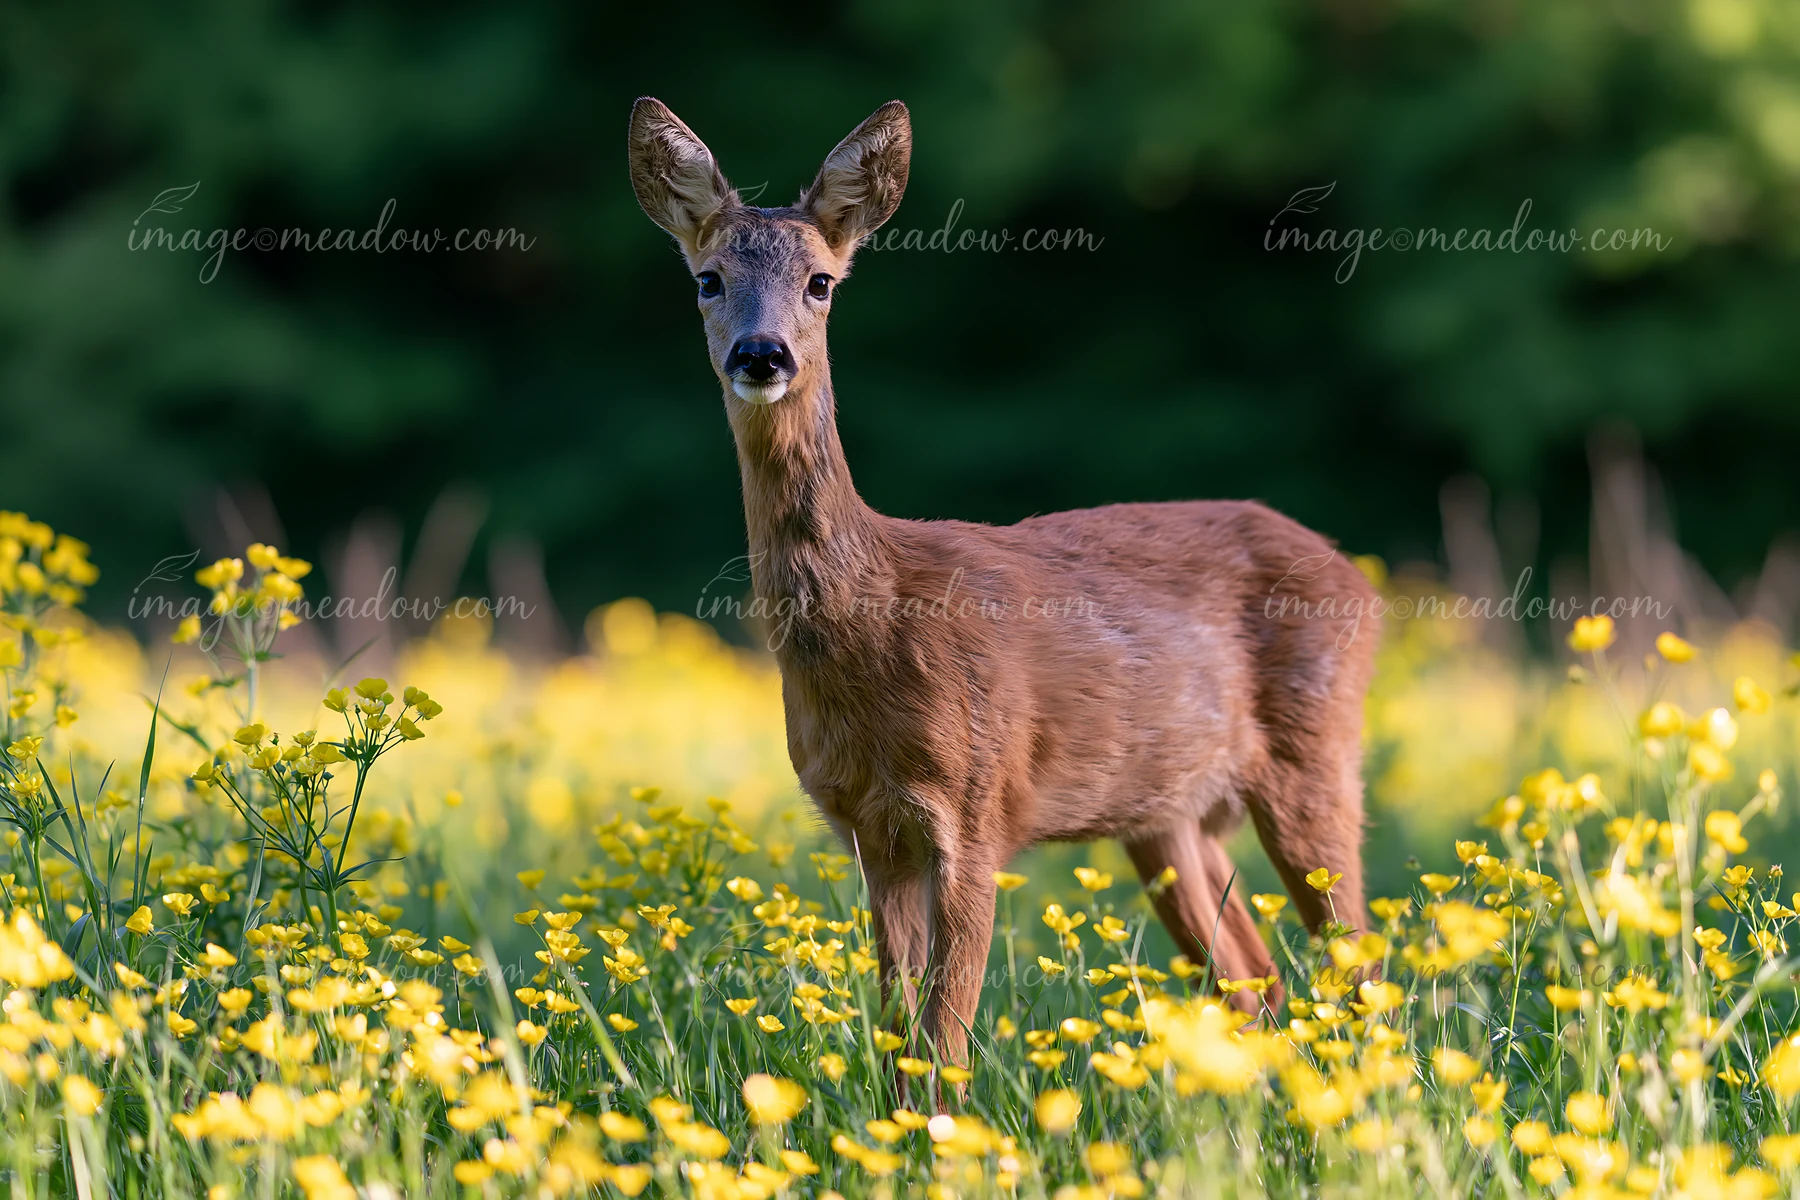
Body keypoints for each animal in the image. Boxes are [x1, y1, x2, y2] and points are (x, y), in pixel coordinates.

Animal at [627, 97, 1377, 1070]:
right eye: (708, 280)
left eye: (821, 282)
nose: (763, 354)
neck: (876, 623)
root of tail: (1354, 574)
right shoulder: (868, 830)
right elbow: (897, 1039)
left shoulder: (976, 810)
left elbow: (944, 1046)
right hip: (1168, 815)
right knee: (1257, 981)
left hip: (1315, 752)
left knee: (1361, 969)